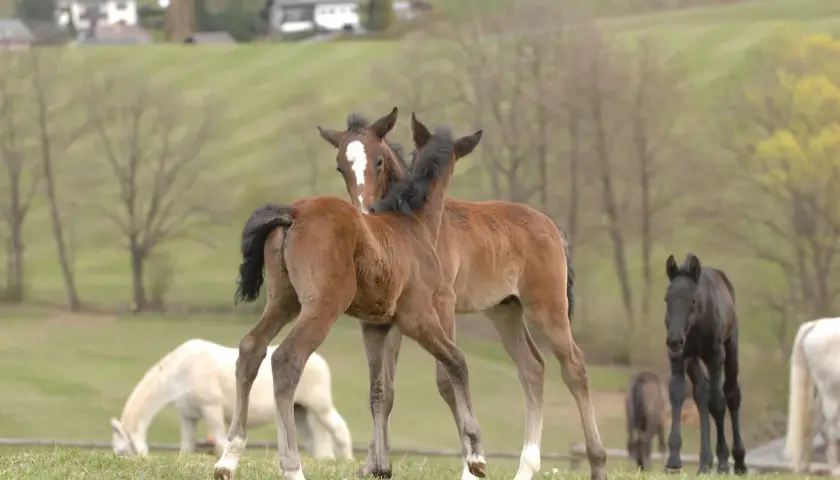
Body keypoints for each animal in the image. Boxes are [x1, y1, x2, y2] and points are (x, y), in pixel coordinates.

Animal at [109, 338, 352, 460]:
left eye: (122, 452)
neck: (182, 370)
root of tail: (318, 360)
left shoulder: (212, 409)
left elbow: (219, 441)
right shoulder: (188, 415)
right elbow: (186, 447)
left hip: (320, 406)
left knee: (338, 429)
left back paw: (347, 460)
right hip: (299, 409)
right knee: (316, 437)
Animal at [213, 112, 488, 480]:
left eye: (379, 160)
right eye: (341, 166)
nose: (365, 208)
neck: (413, 224)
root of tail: (294, 213)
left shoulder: (376, 326)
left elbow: (379, 390)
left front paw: (379, 466)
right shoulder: (419, 316)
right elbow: (457, 363)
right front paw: (476, 454)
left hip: (283, 301)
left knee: (250, 349)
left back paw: (228, 458)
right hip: (322, 306)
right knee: (286, 359)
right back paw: (292, 467)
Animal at [317, 109, 607, 480]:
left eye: (378, 161)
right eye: (341, 166)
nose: (365, 212)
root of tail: (553, 228)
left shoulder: (443, 305)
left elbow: (445, 378)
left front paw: (471, 465)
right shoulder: (391, 317)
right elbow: (385, 388)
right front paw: (375, 464)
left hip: (547, 307)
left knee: (575, 367)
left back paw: (596, 460)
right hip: (505, 310)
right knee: (532, 368)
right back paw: (526, 467)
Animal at [663, 253, 746, 475]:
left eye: (692, 300)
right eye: (667, 299)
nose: (674, 340)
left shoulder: (715, 356)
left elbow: (717, 402)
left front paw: (724, 462)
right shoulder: (679, 356)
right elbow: (677, 393)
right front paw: (673, 460)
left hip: (731, 346)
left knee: (731, 394)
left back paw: (739, 461)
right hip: (692, 359)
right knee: (701, 391)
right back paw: (705, 463)